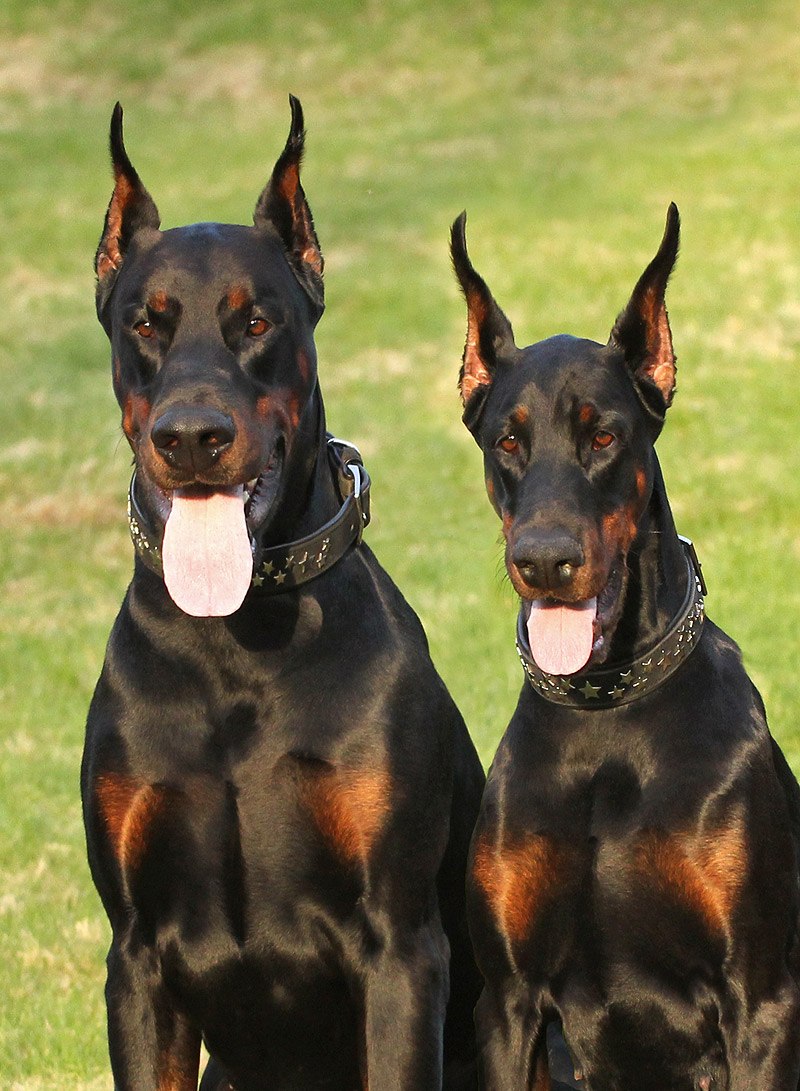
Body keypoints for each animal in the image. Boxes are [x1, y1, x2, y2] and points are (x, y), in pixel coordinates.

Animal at [81, 96, 484, 1091]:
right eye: (146, 323)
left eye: (256, 321)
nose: (192, 435)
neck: (235, 642)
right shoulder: (136, 958)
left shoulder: (399, 945)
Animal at [451, 206, 798, 1091]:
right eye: (507, 442)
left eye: (604, 436)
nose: (544, 559)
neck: (606, 718)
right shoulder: (507, 1003)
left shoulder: (762, 1000)